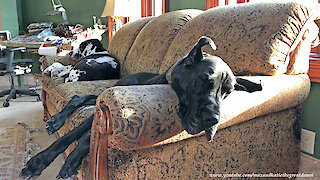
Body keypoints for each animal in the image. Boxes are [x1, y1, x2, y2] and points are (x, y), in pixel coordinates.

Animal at [20, 36, 262, 179]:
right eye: (204, 79)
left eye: (228, 92)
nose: (213, 119)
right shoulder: (102, 109)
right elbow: (69, 137)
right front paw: (37, 162)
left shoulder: (103, 113)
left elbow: (86, 139)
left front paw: (71, 163)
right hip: (111, 92)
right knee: (78, 98)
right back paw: (55, 121)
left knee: (81, 98)